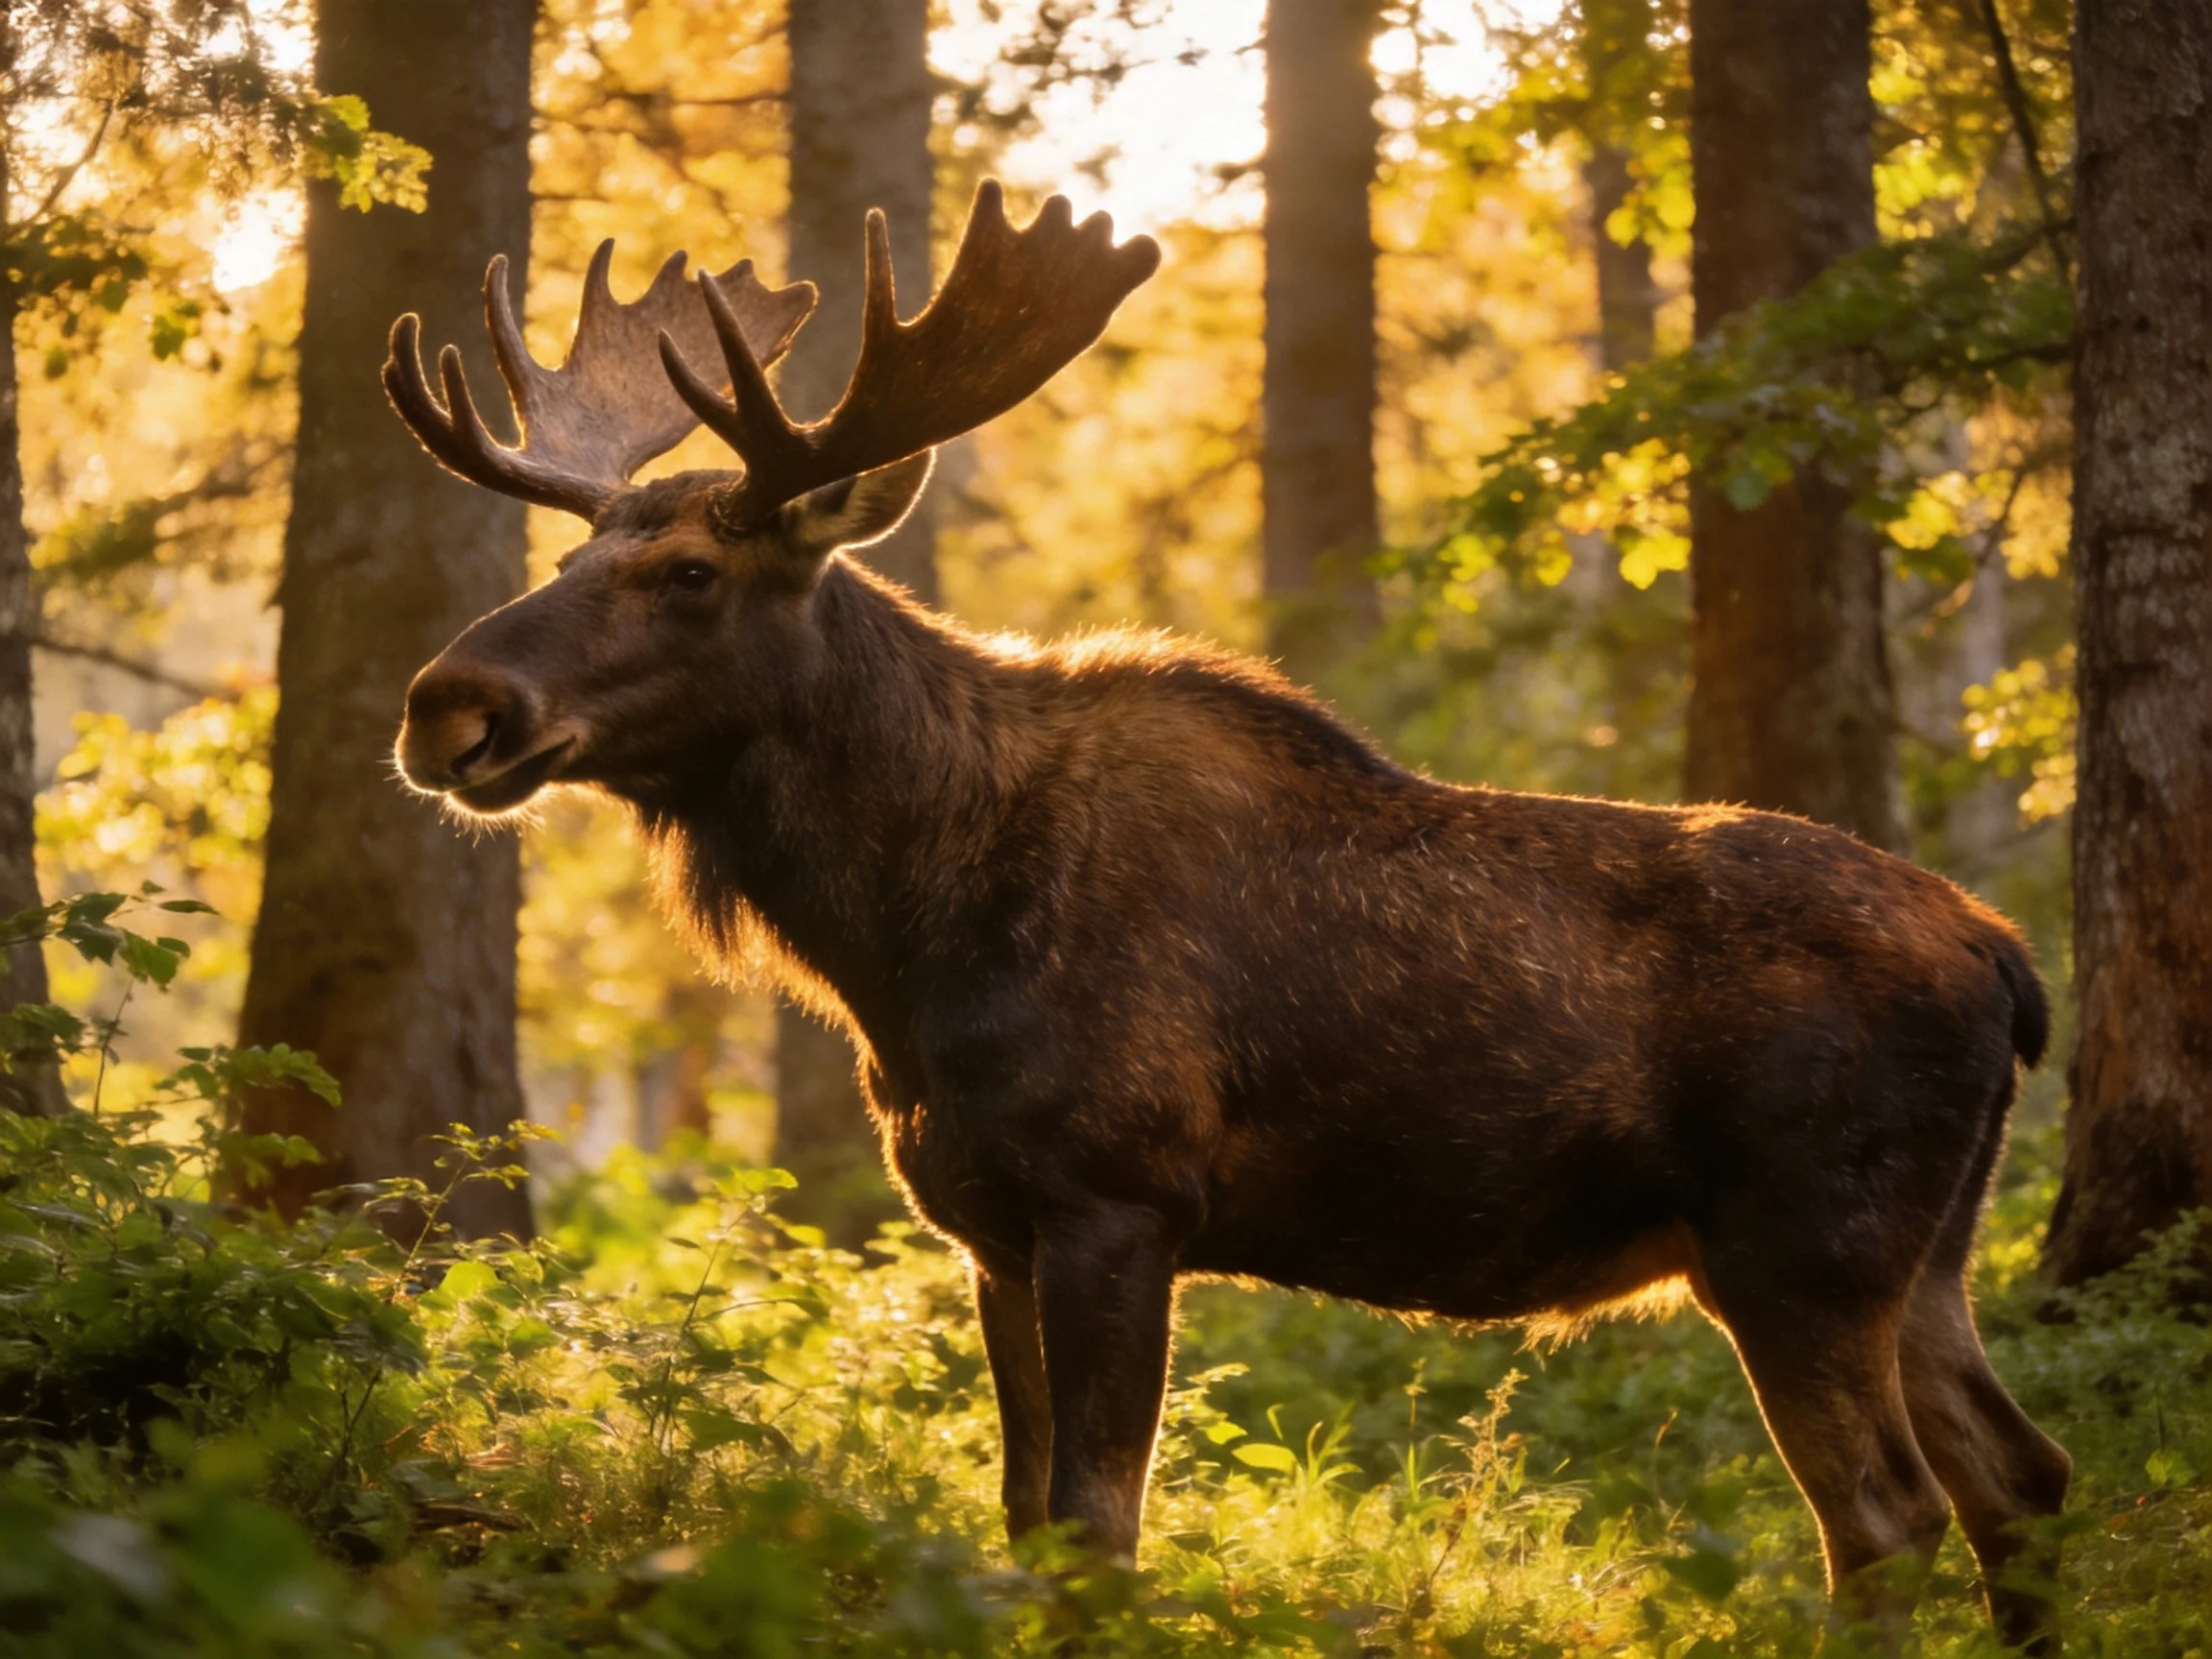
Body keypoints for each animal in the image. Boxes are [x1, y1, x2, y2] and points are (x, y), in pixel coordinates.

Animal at [387, 182, 2070, 1649]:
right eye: (573, 550)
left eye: (686, 570)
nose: (445, 704)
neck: (904, 940)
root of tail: (2009, 962)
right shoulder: (989, 1228)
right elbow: (1023, 1519)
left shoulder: (1120, 1196)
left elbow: (1097, 1531)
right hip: (1924, 1257)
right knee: (2023, 1479)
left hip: (1804, 1242)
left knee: (1887, 1524)